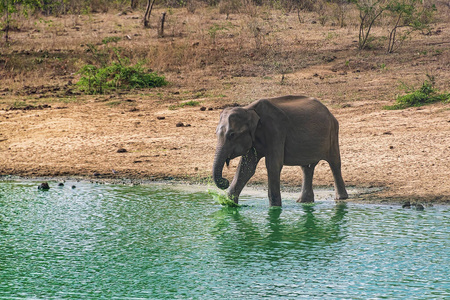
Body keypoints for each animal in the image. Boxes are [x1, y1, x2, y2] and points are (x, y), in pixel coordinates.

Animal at [214, 95, 348, 207]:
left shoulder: (276, 130)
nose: (225, 181)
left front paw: (275, 208)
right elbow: (246, 168)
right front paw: (230, 205)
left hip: (333, 132)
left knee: (334, 162)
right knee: (307, 168)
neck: (248, 110)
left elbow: (273, 165)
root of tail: (328, 111)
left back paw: (341, 199)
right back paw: (304, 202)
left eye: (232, 135)